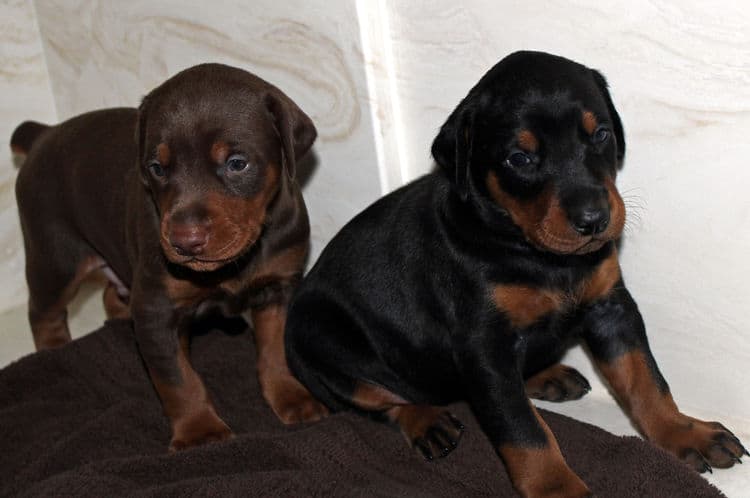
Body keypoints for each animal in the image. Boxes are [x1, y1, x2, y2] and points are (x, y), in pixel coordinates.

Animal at [11, 62, 328, 452]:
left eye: (237, 163)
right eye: (157, 168)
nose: (184, 242)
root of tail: (45, 133)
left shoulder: (278, 287)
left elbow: (274, 349)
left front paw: (290, 396)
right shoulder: (156, 309)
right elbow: (179, 379)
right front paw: (199, 431)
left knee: (110, 292)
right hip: (55, 256)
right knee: (44, 312)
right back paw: (54, 351)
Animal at [286, 52, 748, 496]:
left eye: (600, 134)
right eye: (520, 159)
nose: (594, 219)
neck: (535, 253)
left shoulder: (611, 308)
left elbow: (645, 378)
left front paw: (684, 432)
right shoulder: (484, 348)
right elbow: (524, 431)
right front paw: (558, 489)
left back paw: (547, 375)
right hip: (322, 343)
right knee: (382, 400)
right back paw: (426, 421)